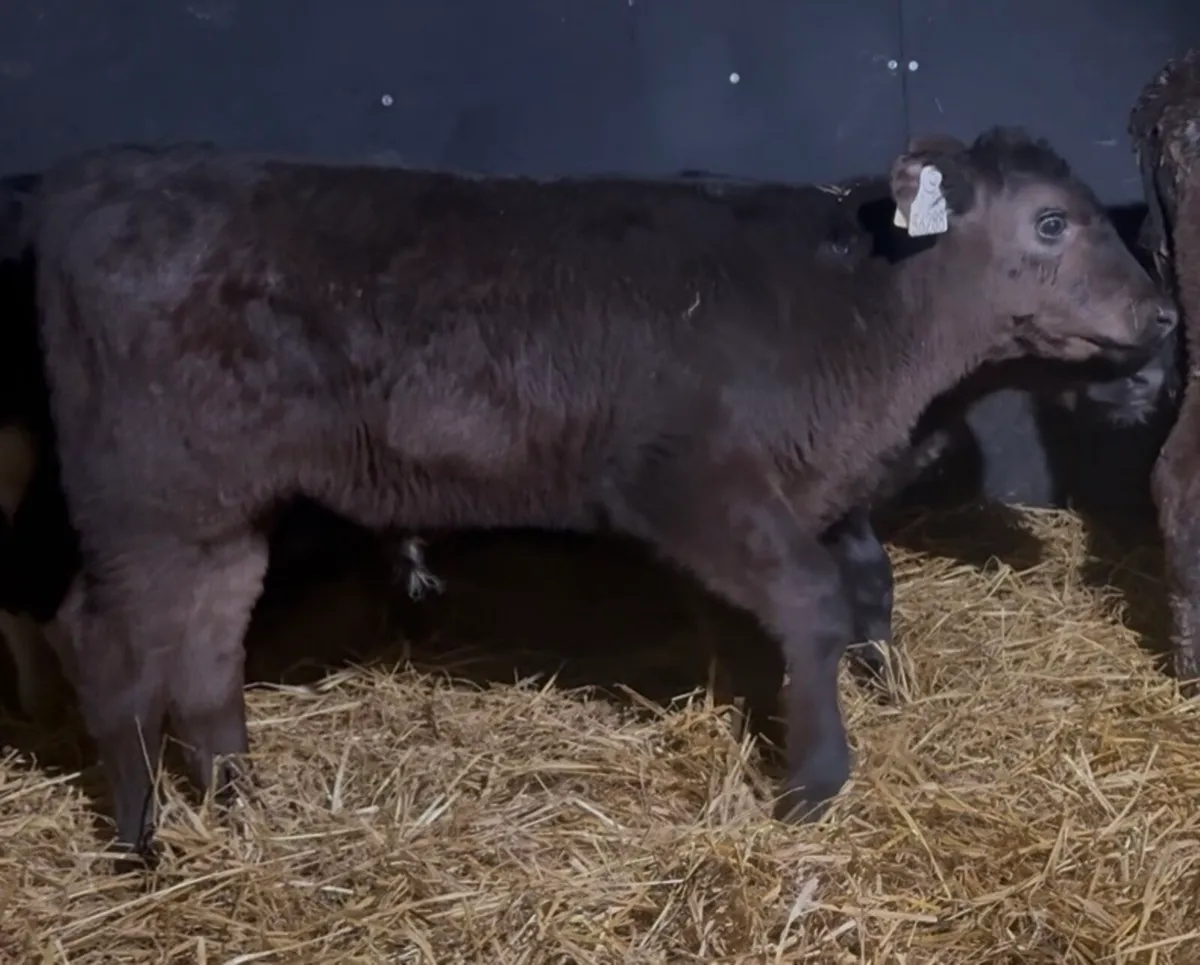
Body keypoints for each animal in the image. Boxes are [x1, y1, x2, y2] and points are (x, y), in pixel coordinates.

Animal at [18, 128, 1178, 867]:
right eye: (1050, 224)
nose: (1165, 315)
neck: (857, 318)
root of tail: (92, 181)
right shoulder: (691, 481)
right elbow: (813, 601)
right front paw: (814, 780)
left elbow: (849, 590)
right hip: (140, 496)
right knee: (100, 641)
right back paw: (142, 842)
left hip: (219, 510)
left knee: (207, 642)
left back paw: (242, 807)